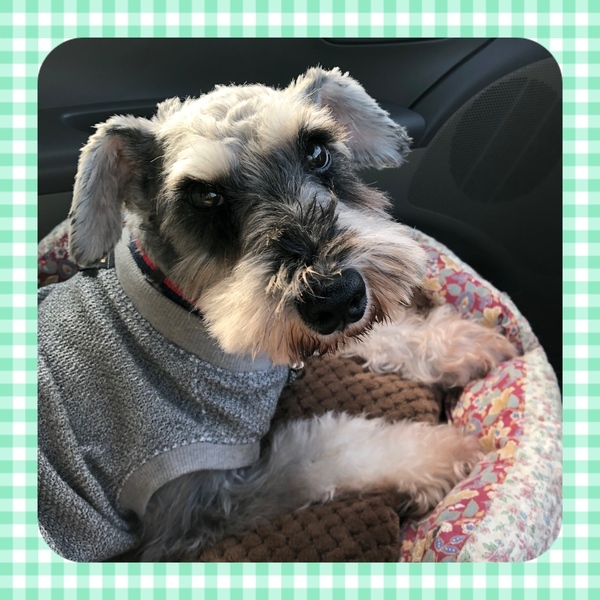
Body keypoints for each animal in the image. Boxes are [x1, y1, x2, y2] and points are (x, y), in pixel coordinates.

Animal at [38, 67, 517, 562]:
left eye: (318, 151)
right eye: (206, 197)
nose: (337, 298)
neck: (186, 312)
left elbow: (375, 334)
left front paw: (465, 344)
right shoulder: (197, 501)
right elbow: (326, 451)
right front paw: (445, 450)